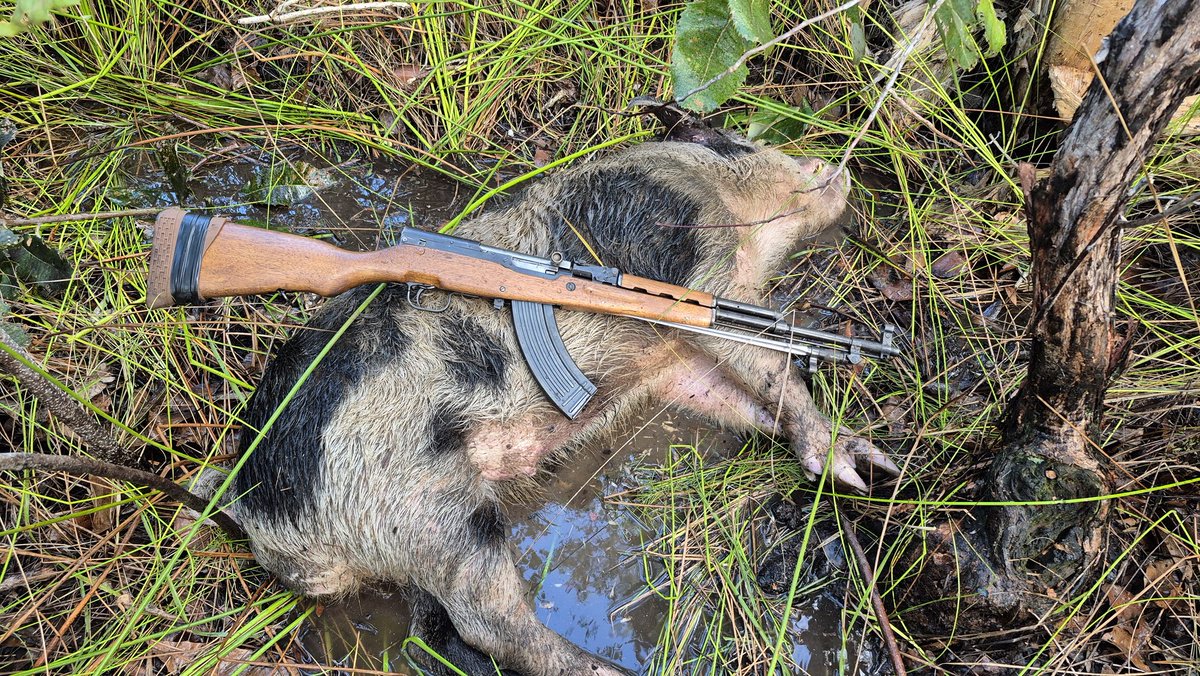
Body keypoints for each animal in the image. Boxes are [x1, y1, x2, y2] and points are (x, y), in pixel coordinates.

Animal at [225, 130, 898, 675]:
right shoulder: (696, 269)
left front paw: (876, 467)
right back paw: (607, 669)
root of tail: (264, 514)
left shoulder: (675, 365)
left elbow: (740, 394)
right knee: (493, 623)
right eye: (739, 144)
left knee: (440, 627)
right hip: (431, 504)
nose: (832, 162)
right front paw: (853, 473)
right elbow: (770, 365)